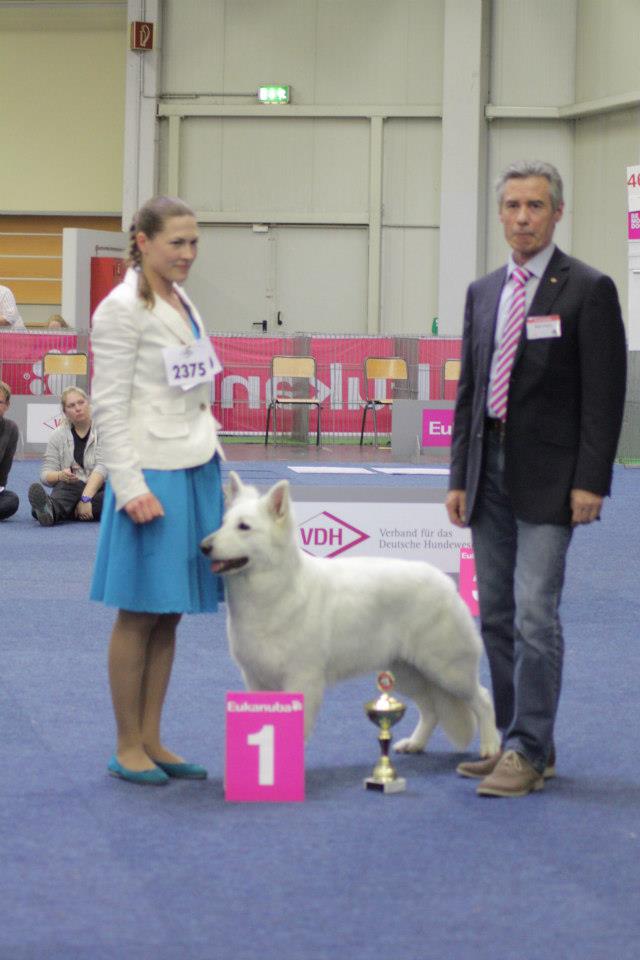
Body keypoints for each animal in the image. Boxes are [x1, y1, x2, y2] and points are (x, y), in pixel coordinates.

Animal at [200, 472, 499, 758]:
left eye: (243, 527)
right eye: (223, 523)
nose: (203, 546)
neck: (273, 590)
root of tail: (446, 583)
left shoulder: (303, 680)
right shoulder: (255, 678)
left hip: (449, 671)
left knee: (483, 700)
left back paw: (490, 747)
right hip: (408, 673)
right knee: (431, 709)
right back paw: (415, 744)